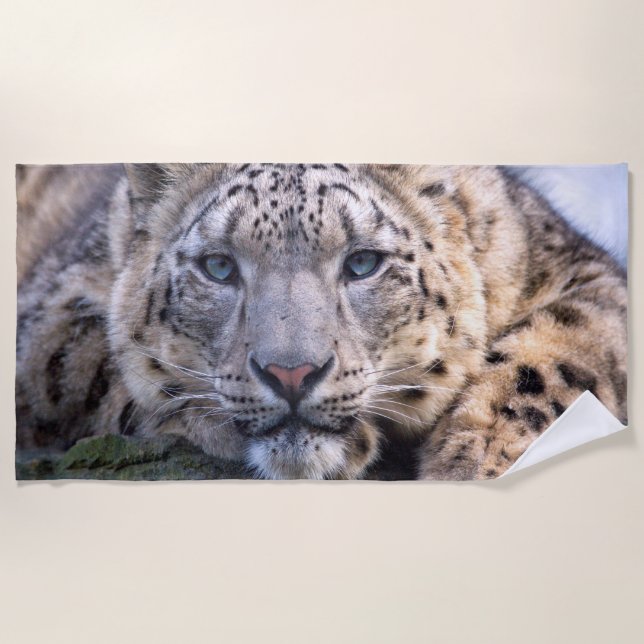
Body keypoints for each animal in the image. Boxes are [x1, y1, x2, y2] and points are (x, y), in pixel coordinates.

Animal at [15, 163, 628, 479]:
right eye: (218, 266)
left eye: (362, 263)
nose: (291, 374)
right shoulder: (54, 309)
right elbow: (105, 369)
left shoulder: (585, 276)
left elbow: (559, 352)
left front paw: (471, 456)